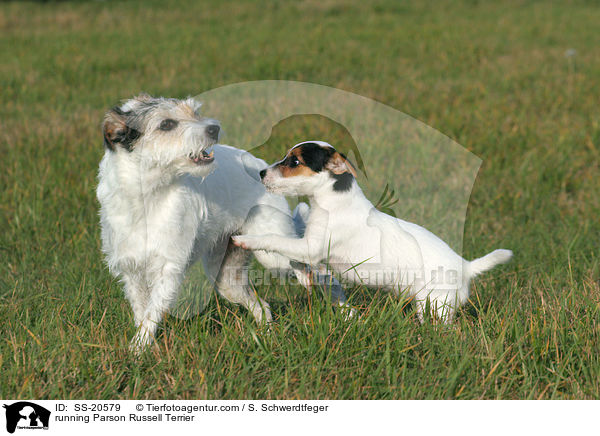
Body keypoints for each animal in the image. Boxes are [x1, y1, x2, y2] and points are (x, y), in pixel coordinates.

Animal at [96, 97, 344, 352]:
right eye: (166, 124)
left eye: (194, 113)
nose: (213, 128)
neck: (146, 196)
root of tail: (261, 167)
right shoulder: (131, 272)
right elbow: (142, 313)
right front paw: (144, 349)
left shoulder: (169, 270)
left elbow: (151, 313)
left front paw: (137, 350)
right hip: (228, 280)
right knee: (262, 306)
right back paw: (267, 337)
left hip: (277, 256)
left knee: (320, 271)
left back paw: (345, 312)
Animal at [232, 141, 512, 322]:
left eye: (295, 162)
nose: (261, 173)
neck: (336, 203)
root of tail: (466, 266)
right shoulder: (310, 248)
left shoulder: (311, 248)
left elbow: (274, 239)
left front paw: (246, 239)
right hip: (427, 305)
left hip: (436, 306)